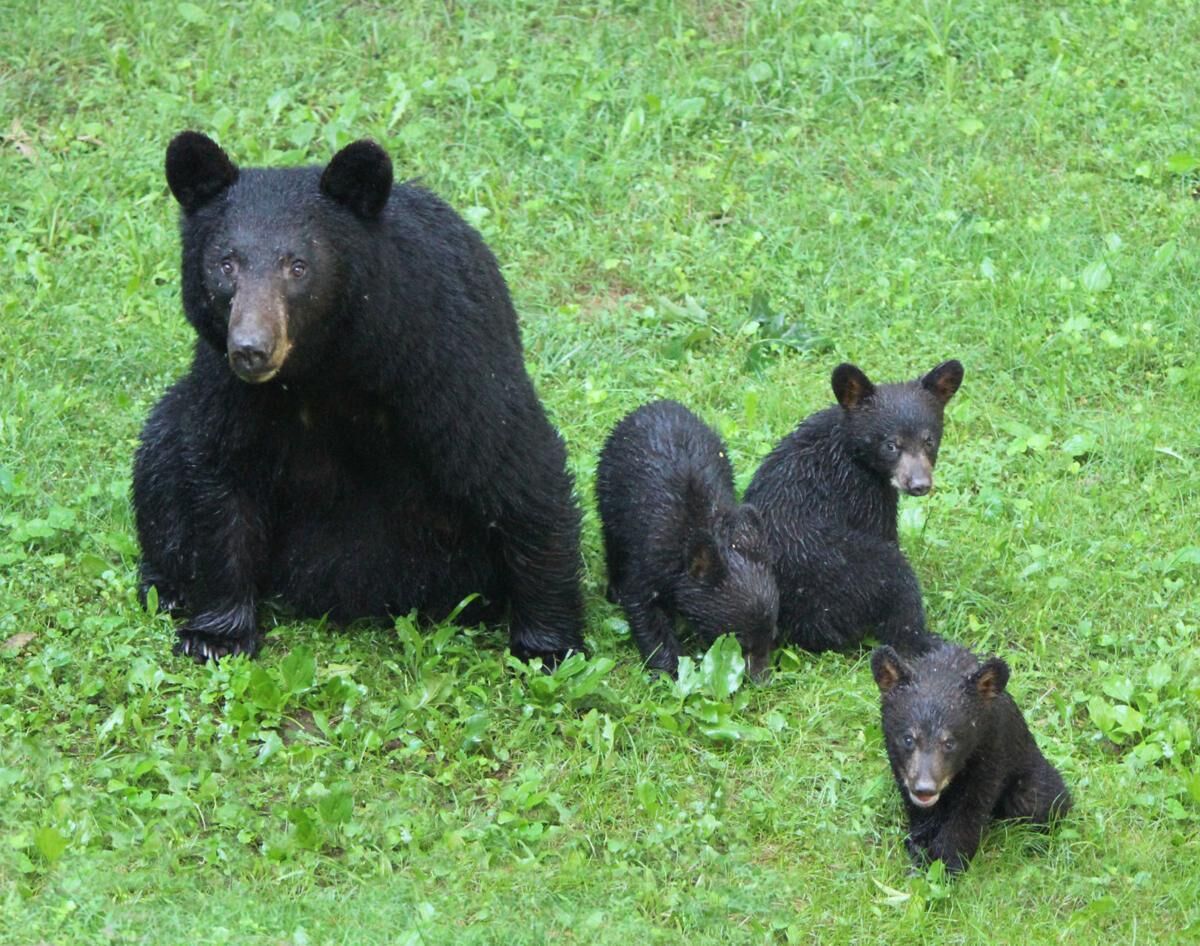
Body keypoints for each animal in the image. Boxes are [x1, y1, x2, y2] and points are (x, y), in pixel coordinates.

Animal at [132, 131, 585, 663]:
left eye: (298, 266)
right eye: (226, 264)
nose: (251, 349)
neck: (325, 365)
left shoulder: (443, 355)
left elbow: (515, 465)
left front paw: (548, 644)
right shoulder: (227, 387)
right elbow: (221, 475)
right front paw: (214, 634)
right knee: (160, 454)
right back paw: (168, 586)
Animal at [595, 400, 779, 680]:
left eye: (772, 635)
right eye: (740, 641)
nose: (763, 681)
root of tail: (657, 404)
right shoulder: (650, 558)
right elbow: (644, 608)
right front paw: (672, 671)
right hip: (608, 493)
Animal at [743, 359, 963, 655]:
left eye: (929, 440)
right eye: (891, 445)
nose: (919, 484)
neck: (853, 451)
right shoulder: (862, 493)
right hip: (848, 566)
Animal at [871, 642, 1072, 873]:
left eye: (950, 743)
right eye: (908, 739)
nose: (925, 789)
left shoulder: (992, 750)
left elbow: (971, 807)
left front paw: (948, 863)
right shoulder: (899, 763)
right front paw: (919, 848)